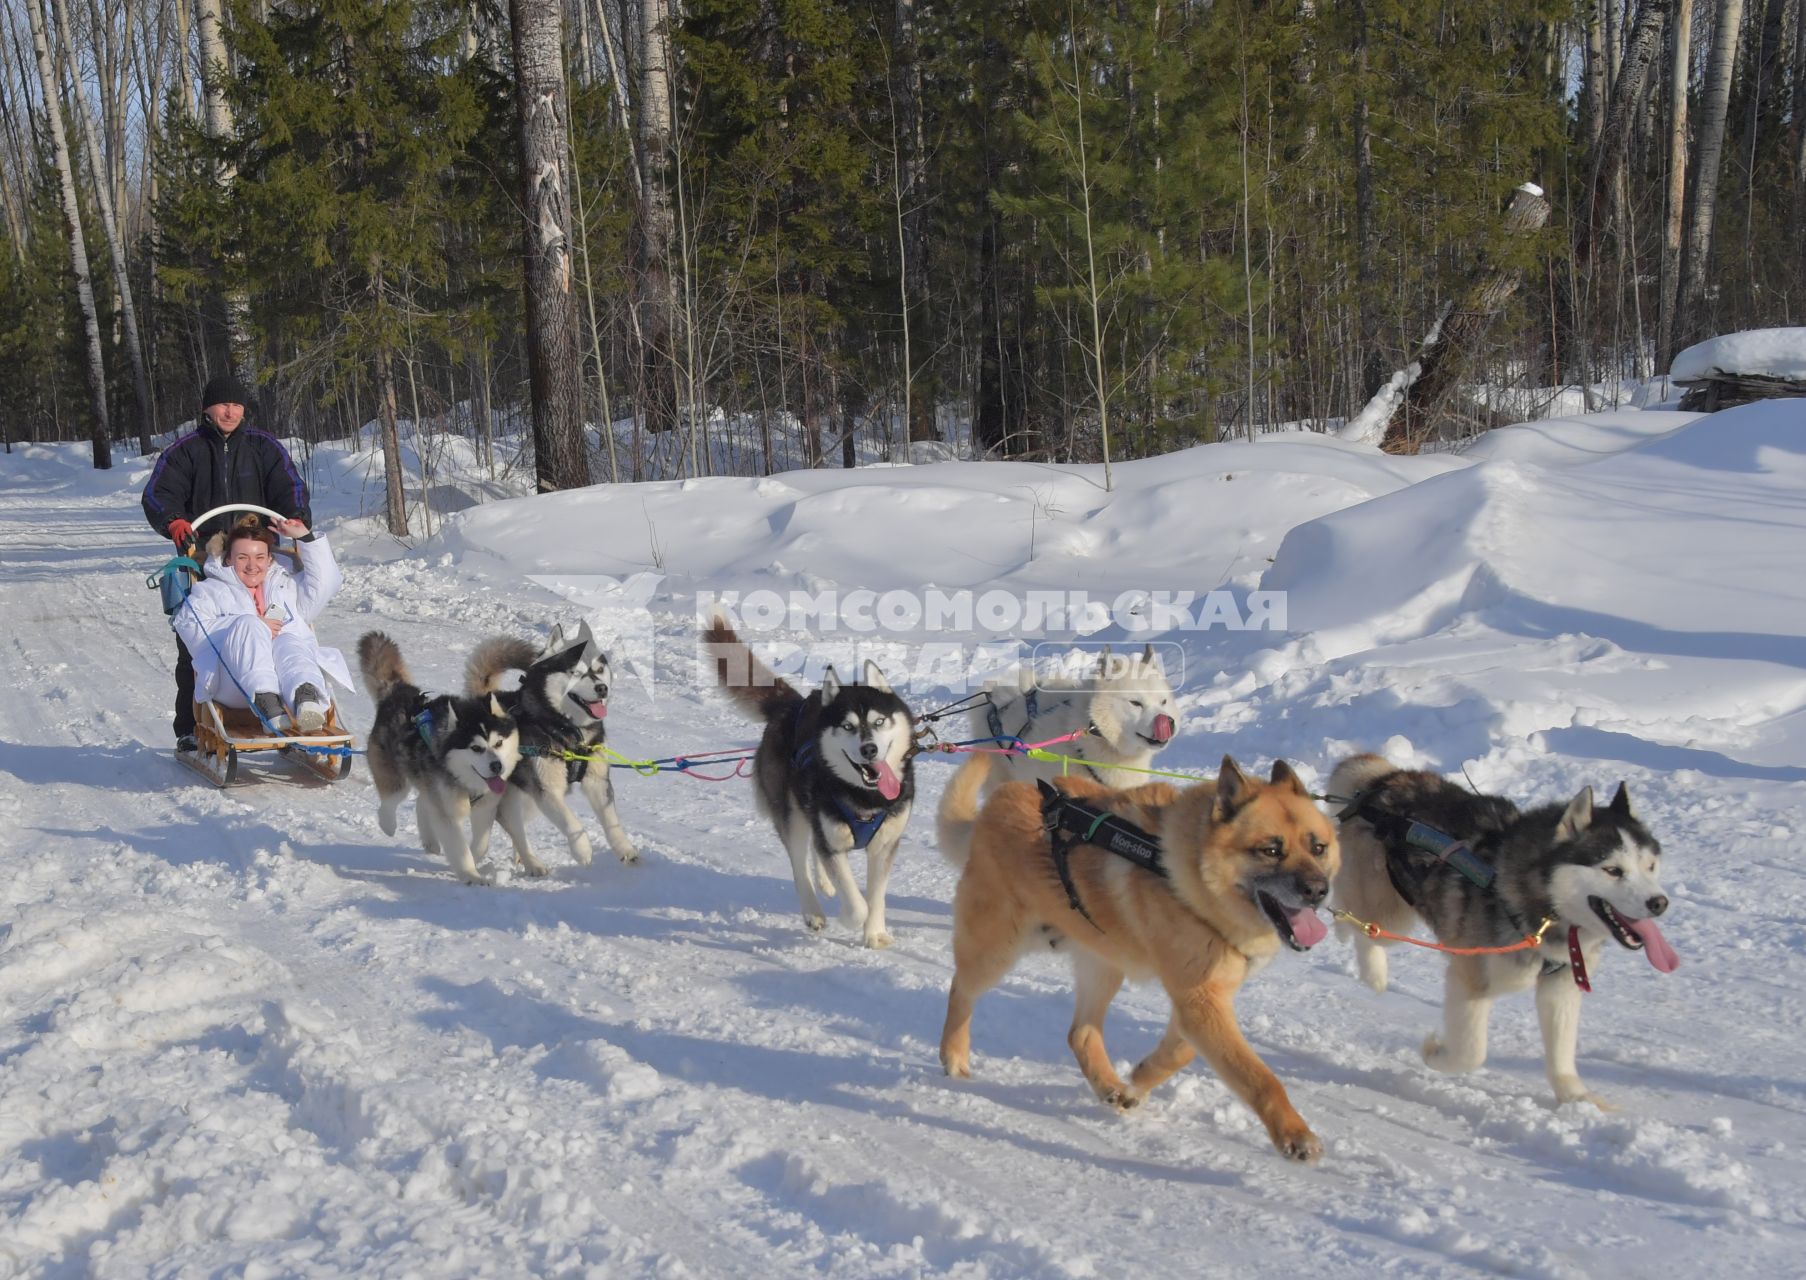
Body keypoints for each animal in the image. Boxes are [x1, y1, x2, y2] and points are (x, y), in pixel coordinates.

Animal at [357, 631, 527, 888]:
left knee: (421, 802)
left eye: (499, 743)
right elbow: (459, 847)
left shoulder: (485, 807)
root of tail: (399, 692)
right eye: (476, 748)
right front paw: (471, 875)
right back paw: (388, 825)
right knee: (391, 800)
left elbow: (480, 845)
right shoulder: (447, 812)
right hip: (395, 774)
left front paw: (475, 859)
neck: (465, 781)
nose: (497, 766)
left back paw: (429, 841)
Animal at [465, 621, 642, 870]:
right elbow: (572, 823)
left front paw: (625, 849)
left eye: (599, 670)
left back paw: (525, 859)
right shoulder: (548, 790)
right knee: (500, 825)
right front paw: (582, 850)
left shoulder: (597, 781)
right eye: (576, 672)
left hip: (526, 798)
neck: (569, 729)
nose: (602, 688)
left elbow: (611, 821)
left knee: (512, 823)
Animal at [704, 613, 917, 946]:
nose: (869, 749)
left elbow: (876, 896)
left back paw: (826, 884)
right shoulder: (832, 844)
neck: (864, 797)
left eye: (879, 721)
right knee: (799, 863)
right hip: (792, 816)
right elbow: (857, 903)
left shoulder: (885, 845)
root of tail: (792, 708)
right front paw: (850, 918)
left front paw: (874, 933)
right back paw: (814, 911)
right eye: (847, 726)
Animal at [939, 754, 1336, 1162]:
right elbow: (1258, 1077)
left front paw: (1139, 1081)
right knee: (961, 990)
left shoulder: (1200, 1000)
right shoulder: (1200, 1001)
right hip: (997, 949)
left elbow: (1181, 1052)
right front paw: (1294, 1133)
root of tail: (997, 803)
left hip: (1103, 963)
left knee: (1080, 1033)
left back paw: (1109, 1085)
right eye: (1271, 850)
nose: (1318, 890)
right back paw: (954, 1056)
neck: (1191, 876)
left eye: (1318, 848)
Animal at [1329, 747, 1675, 1104]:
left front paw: (1577, 1098)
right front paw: (1434, 1053)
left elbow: (1561, 1052)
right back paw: (1368, 962)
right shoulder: (1470, 977)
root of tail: (1384, 781)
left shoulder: (1561, 983)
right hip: (1389, 909)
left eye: (1650, 866)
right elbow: (1471, 1051)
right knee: (1360, 917)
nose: (1659, 903)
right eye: (1613, 870)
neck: (1541, 909)